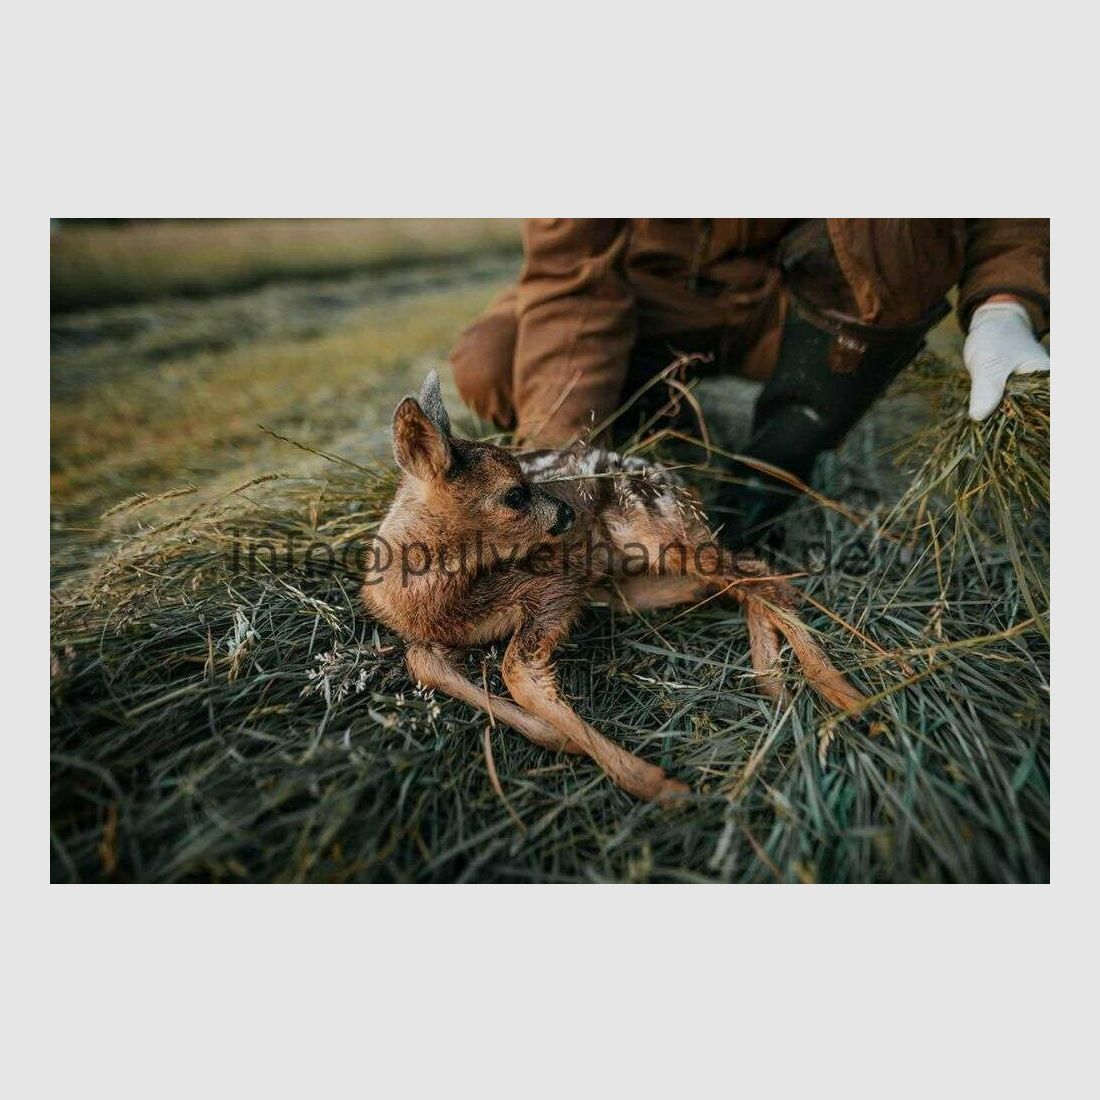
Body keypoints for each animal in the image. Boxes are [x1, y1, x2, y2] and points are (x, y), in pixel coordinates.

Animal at [362, 371, 866, 804]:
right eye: (514, 494)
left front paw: (656, 783)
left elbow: (517, 672)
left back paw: (842, 694)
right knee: (726, 582)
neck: (444, 600)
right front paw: (563, 739)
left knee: (755, 571)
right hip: (624, 581)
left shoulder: (556, 584)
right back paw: (774, 683)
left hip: (654, 531)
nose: (567, 514)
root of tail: (681, 484)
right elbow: (422, 662)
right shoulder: (432, 637)